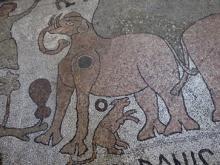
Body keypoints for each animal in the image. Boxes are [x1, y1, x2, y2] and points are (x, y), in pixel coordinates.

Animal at [34, 11, 199, 156]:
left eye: (69, 22)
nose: (60, 40)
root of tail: (164, 41)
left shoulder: (86, 74)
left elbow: (81, 107)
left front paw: (75, 147)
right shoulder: (64, 82)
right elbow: (60, 106)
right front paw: (47, 139)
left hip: (158, 65)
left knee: (168, 93)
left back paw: (177, 129)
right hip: (143, 80)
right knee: (148, 100)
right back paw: (149, 134)